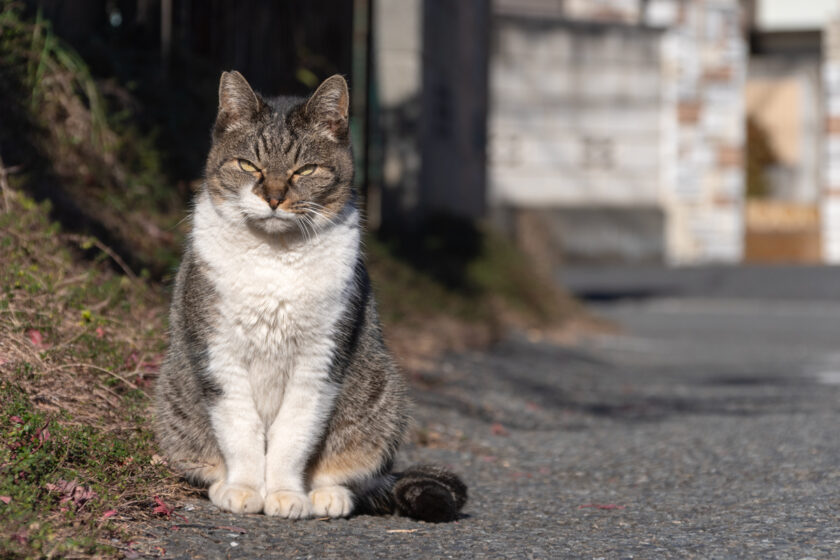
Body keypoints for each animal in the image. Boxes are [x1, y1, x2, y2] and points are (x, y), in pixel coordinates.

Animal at [152, 72, 466, 524]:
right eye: (249, 165)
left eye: (305, 169)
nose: (274, 196)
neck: (275, 255)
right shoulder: (218, 352)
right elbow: (241, 429)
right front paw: (246, 489)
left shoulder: (320, 359)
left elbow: (293, 435)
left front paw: (285, 495)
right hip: (173, 398)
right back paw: (221, 485)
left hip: (382, 395)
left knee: (354, 475)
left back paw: (327, 496)